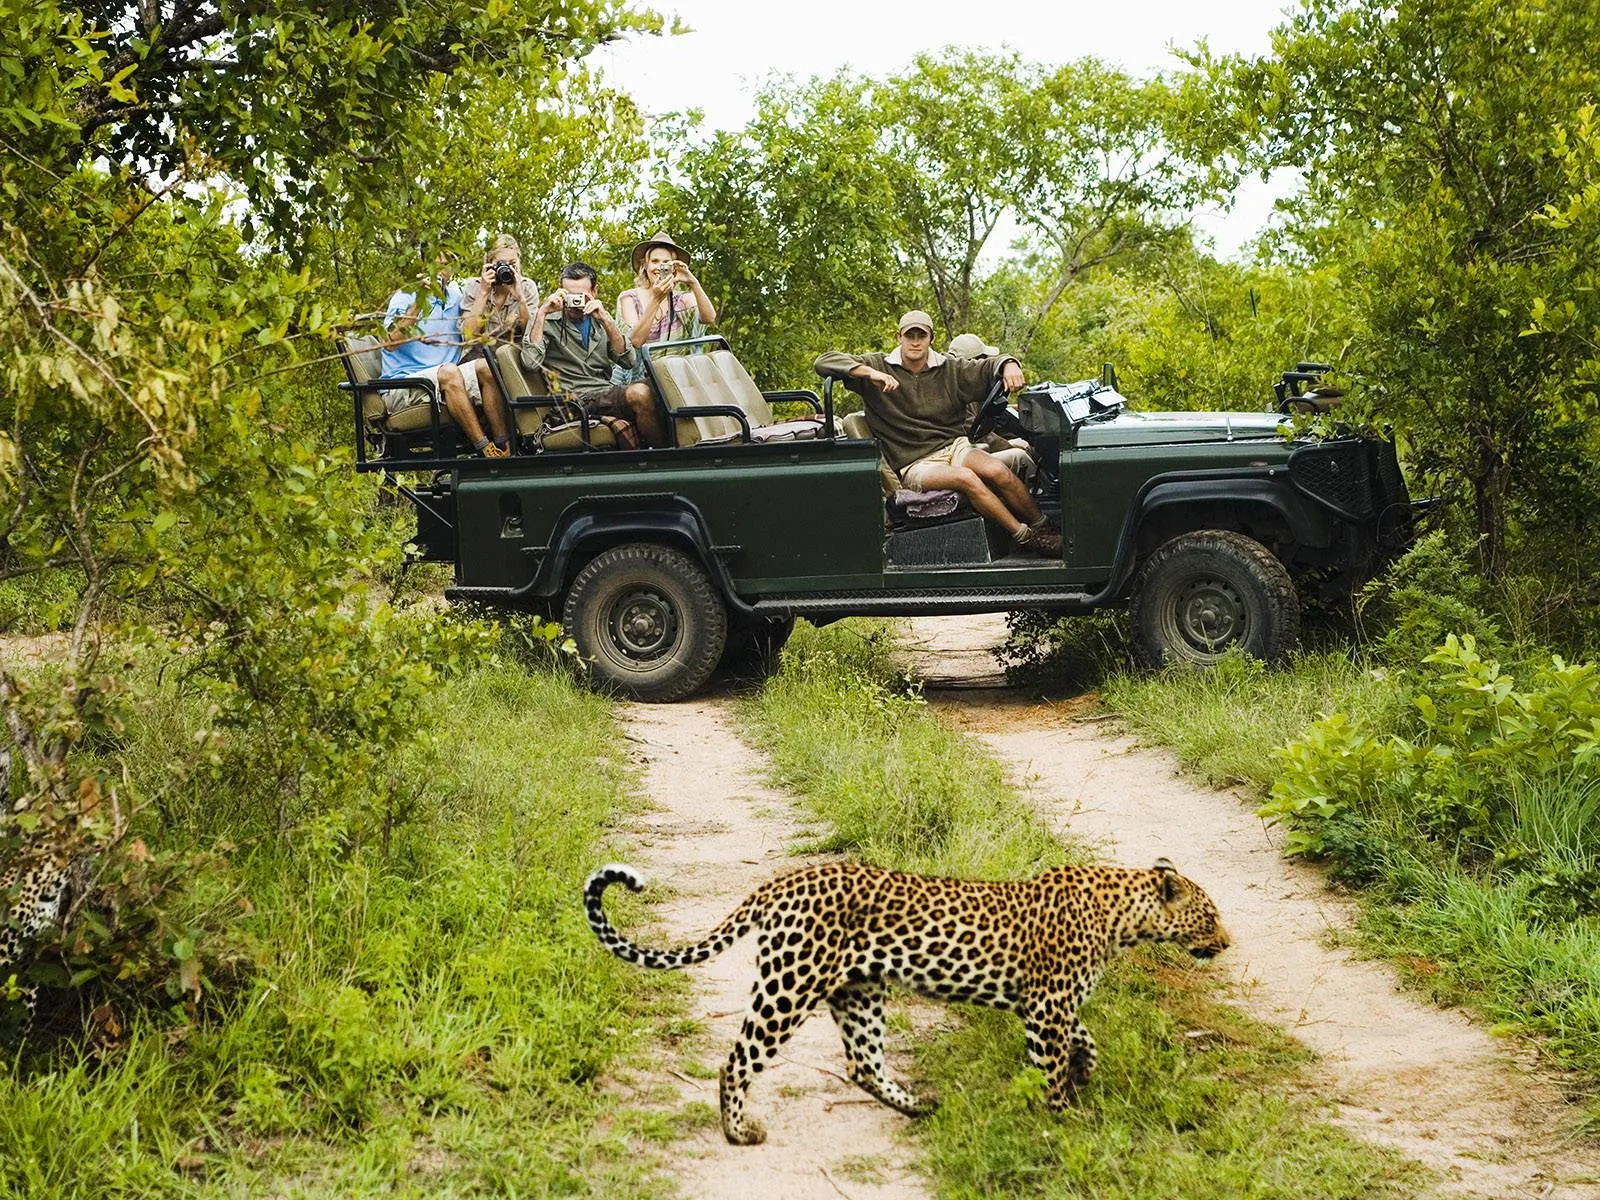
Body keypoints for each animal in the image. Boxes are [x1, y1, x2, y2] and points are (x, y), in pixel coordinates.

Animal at [584, 857, 1230, 1145]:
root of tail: (779, 881)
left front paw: (1086, 1070)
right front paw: (1064, 1118)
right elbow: (1051, 1067)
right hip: (790, 985)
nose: (1226, 942)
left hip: (859, 990)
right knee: (738, 1060)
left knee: (862, 1062)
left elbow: (1084, 1037)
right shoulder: (1047, 1005)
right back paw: (739, 1132)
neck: (1124, 917)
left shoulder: (1047, 1005)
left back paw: (919, 1106)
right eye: (1211, 915)